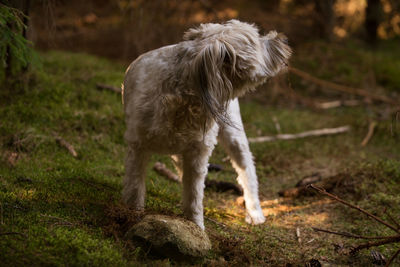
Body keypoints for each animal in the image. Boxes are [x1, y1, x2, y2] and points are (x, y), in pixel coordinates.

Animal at [121, 20, 290, 230]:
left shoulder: (197, 154)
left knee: (247, 170)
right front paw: (133, 215)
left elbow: (194, 195)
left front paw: (195, 226)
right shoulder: (138, 147)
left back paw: (254, 212)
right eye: (257, 40)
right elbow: (135, 188)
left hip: (233, 135)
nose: (284, 39)